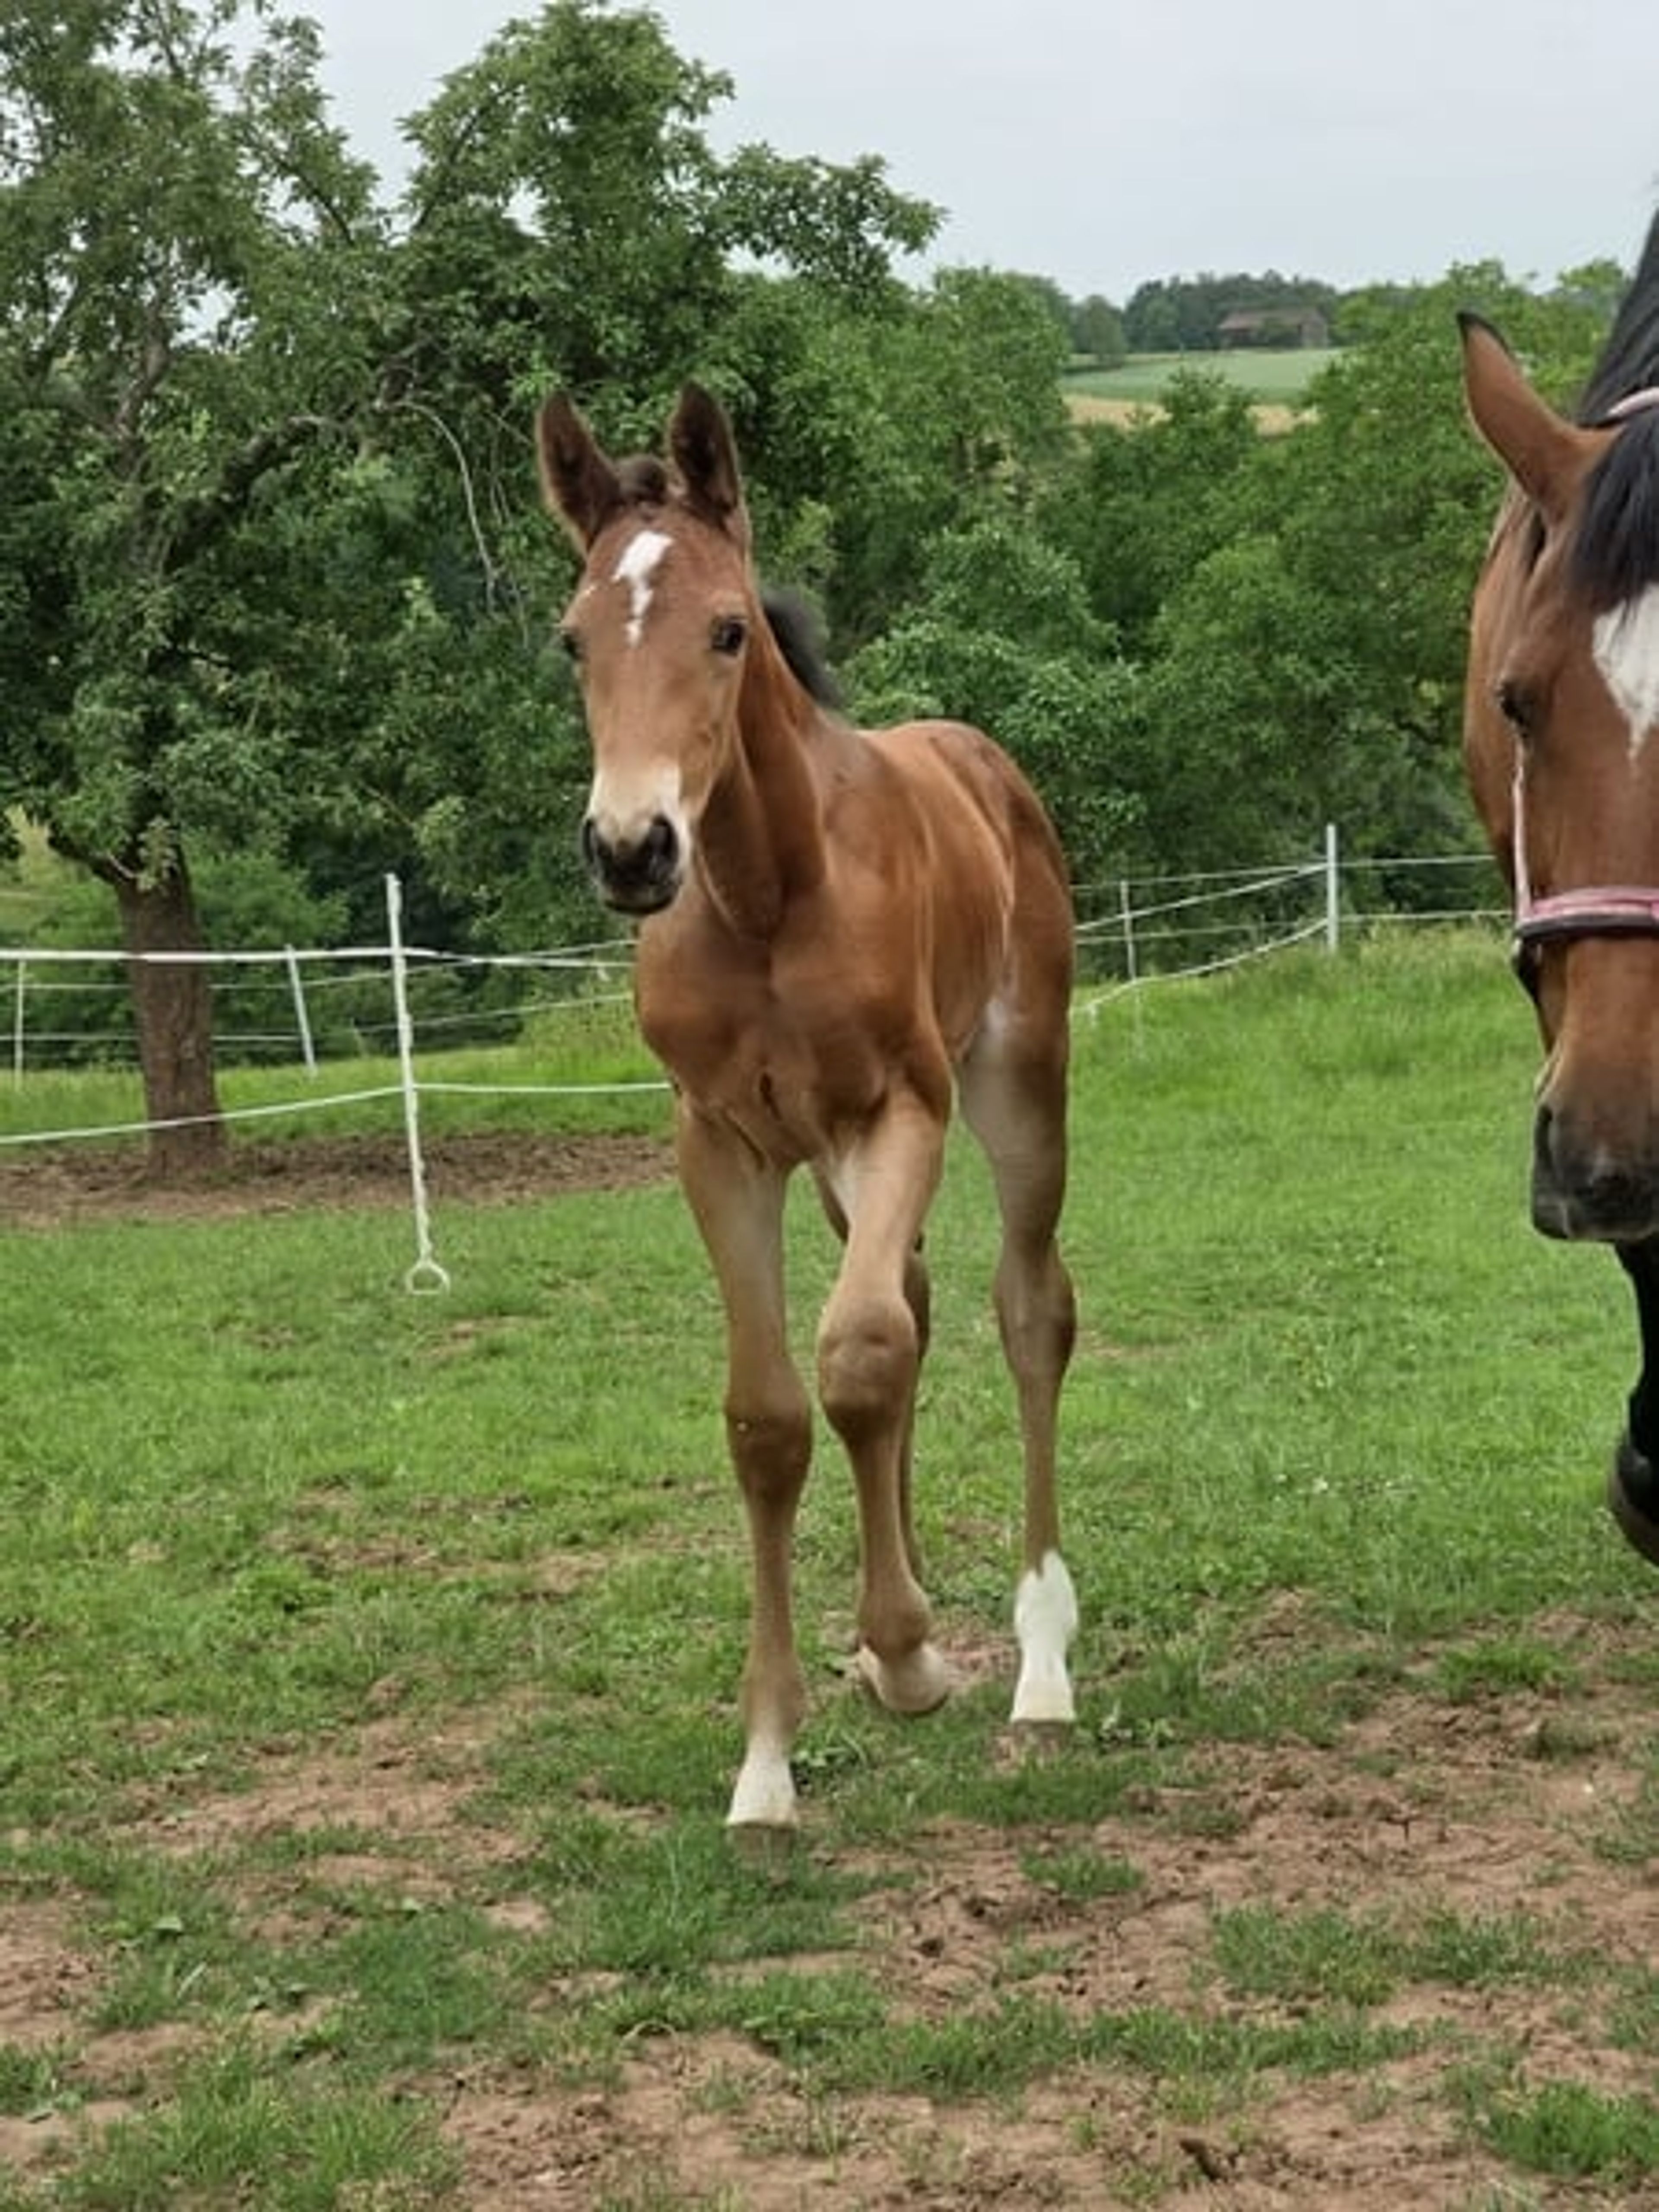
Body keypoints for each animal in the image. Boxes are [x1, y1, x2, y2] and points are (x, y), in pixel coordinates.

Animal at [535, 383, 1080, 1828]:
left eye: (728, 629)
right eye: (571, 641)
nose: (632, 849)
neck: (769, 893)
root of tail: (980, 759)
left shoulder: (902, 1111)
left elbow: (857, 1356)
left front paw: (911, 1656)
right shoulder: (721, 1141)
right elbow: (777, 1411)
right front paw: (770, 1757)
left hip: (1016, 1091)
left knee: (1025, 1313)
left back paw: (1039, 1658)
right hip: (835, 1164)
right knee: (918, 1315)